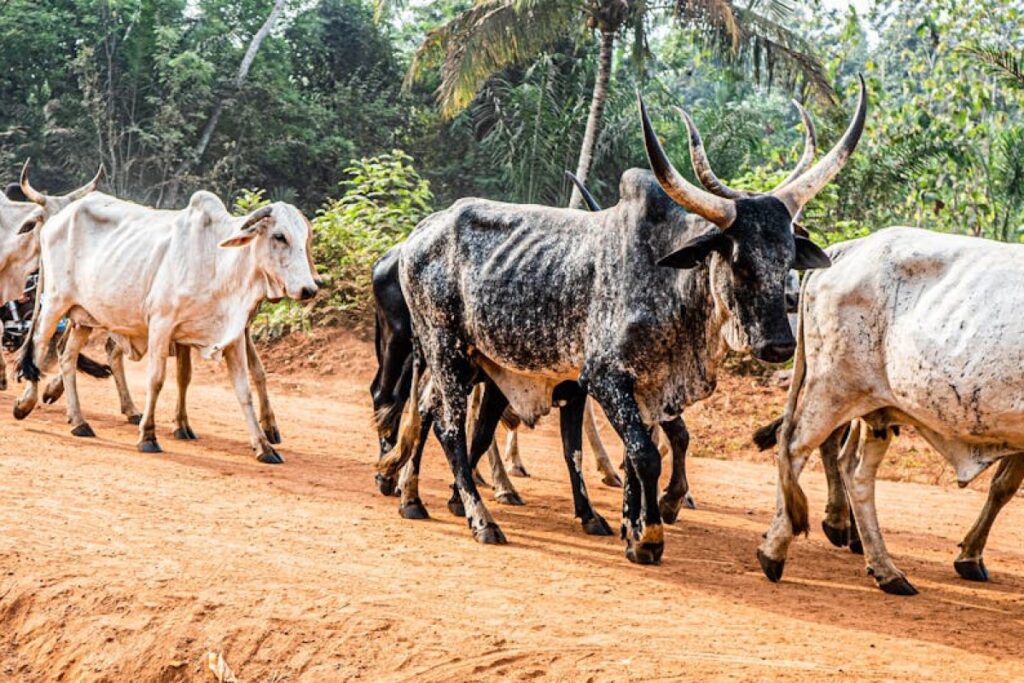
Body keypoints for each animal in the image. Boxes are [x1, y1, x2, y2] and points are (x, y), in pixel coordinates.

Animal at [13, 191, 318, 462]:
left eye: (305, 237)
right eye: (279, 236)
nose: (310, 289)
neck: (217, 263)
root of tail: (58, 217)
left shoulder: (232, 335)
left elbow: (244, 389)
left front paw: (264, 446)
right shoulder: (161, 324)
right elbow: (157, 380)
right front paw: (148, 436)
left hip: (85, 317)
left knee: (67, 357)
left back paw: (79, 421)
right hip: (55, 302)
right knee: (39, 345)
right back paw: (26, 403)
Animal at [393, 79, 866, 561]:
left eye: (788, 257)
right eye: (738, 260)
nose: (779, 344)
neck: (669, 280)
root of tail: (420, 234)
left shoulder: (648, 390)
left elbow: (640, 451)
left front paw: (631, 526)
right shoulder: (604, 378)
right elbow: (643, 455)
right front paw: (650, 536)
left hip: (474, 362)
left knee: (434, 413)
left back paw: (419, 496)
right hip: (446, 350)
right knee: (448, 426)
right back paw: (478, 518)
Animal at [758, 226, 1024, 595]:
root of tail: (850, 248)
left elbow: (1003, 486)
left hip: (877, 408)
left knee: (856, 473)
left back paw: (885, 570)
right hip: (833, 388)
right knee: (796, 450)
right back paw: (774, 552)